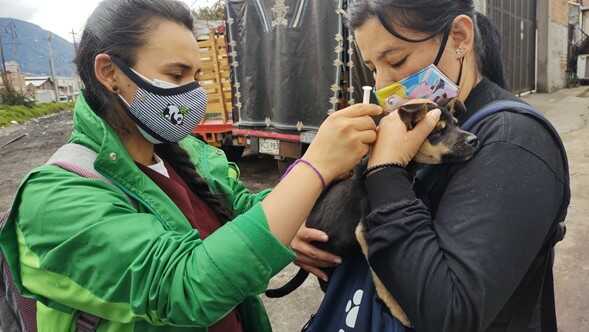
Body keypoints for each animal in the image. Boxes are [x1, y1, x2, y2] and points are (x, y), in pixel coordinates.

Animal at [266, 98, 478, 326]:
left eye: (457, 124)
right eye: (437, 132)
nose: (474, 140)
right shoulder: (365, 231)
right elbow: (381, 279)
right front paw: (399, 311)